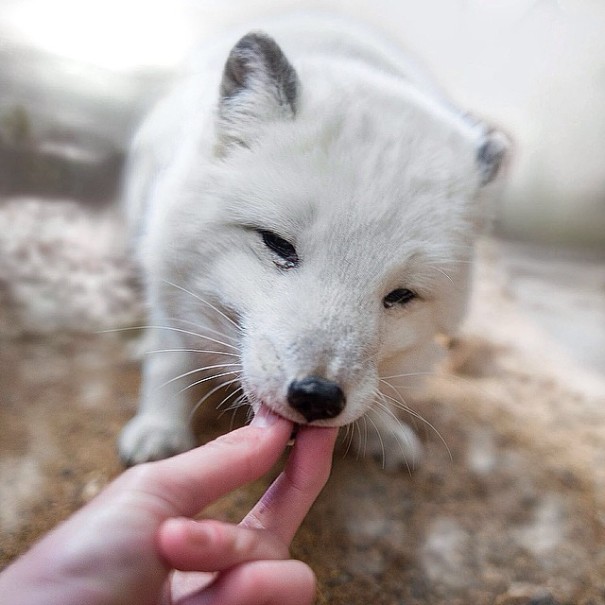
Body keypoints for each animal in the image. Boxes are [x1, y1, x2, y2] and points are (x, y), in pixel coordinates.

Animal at [118, 14, 504, 468]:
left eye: (401, 295)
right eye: (278, 244)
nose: (318, 397)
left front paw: (383, 429)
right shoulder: (171, 276)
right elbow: (169, 360)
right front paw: (159, 428)